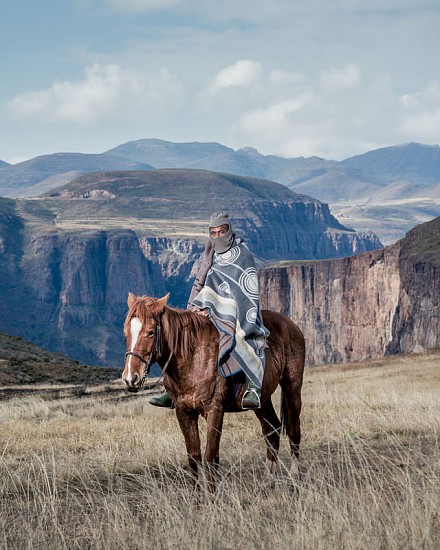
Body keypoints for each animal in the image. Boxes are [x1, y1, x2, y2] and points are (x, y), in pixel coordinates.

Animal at [122, 294, 304, 492]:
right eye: (126, 334)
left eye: (150, 332)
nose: (131, 378)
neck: (193, 358)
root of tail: (290, 324)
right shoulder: (184, 412)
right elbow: (193, 456)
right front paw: (196, 496)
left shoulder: (214, 410)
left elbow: (210, 455)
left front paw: (212, 495)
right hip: (261, 400)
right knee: (272, 430)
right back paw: (267, 481)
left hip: (292, 388)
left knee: (293, 431)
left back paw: (295, 478)